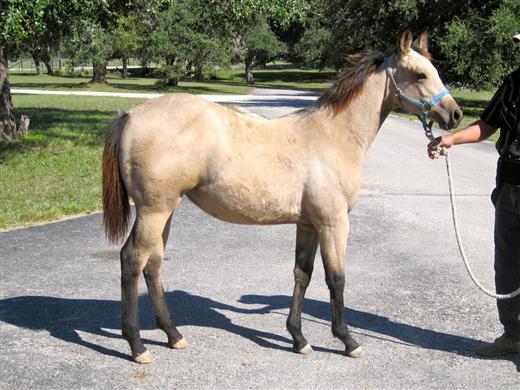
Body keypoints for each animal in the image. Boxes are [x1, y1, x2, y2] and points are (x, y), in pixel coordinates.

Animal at [101, 30, 464, 362]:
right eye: (420, 74)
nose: (455, 114)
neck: (333, 136)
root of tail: (131, 115)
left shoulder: (309, 223)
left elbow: (303, 274)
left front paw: (298, 338)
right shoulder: (333, 223)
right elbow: (336, 279)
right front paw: (348, 341)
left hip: (166, 209)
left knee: (153, 264)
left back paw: (174, 335)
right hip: (154, 210)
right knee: (132, 260)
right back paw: (137, 346)